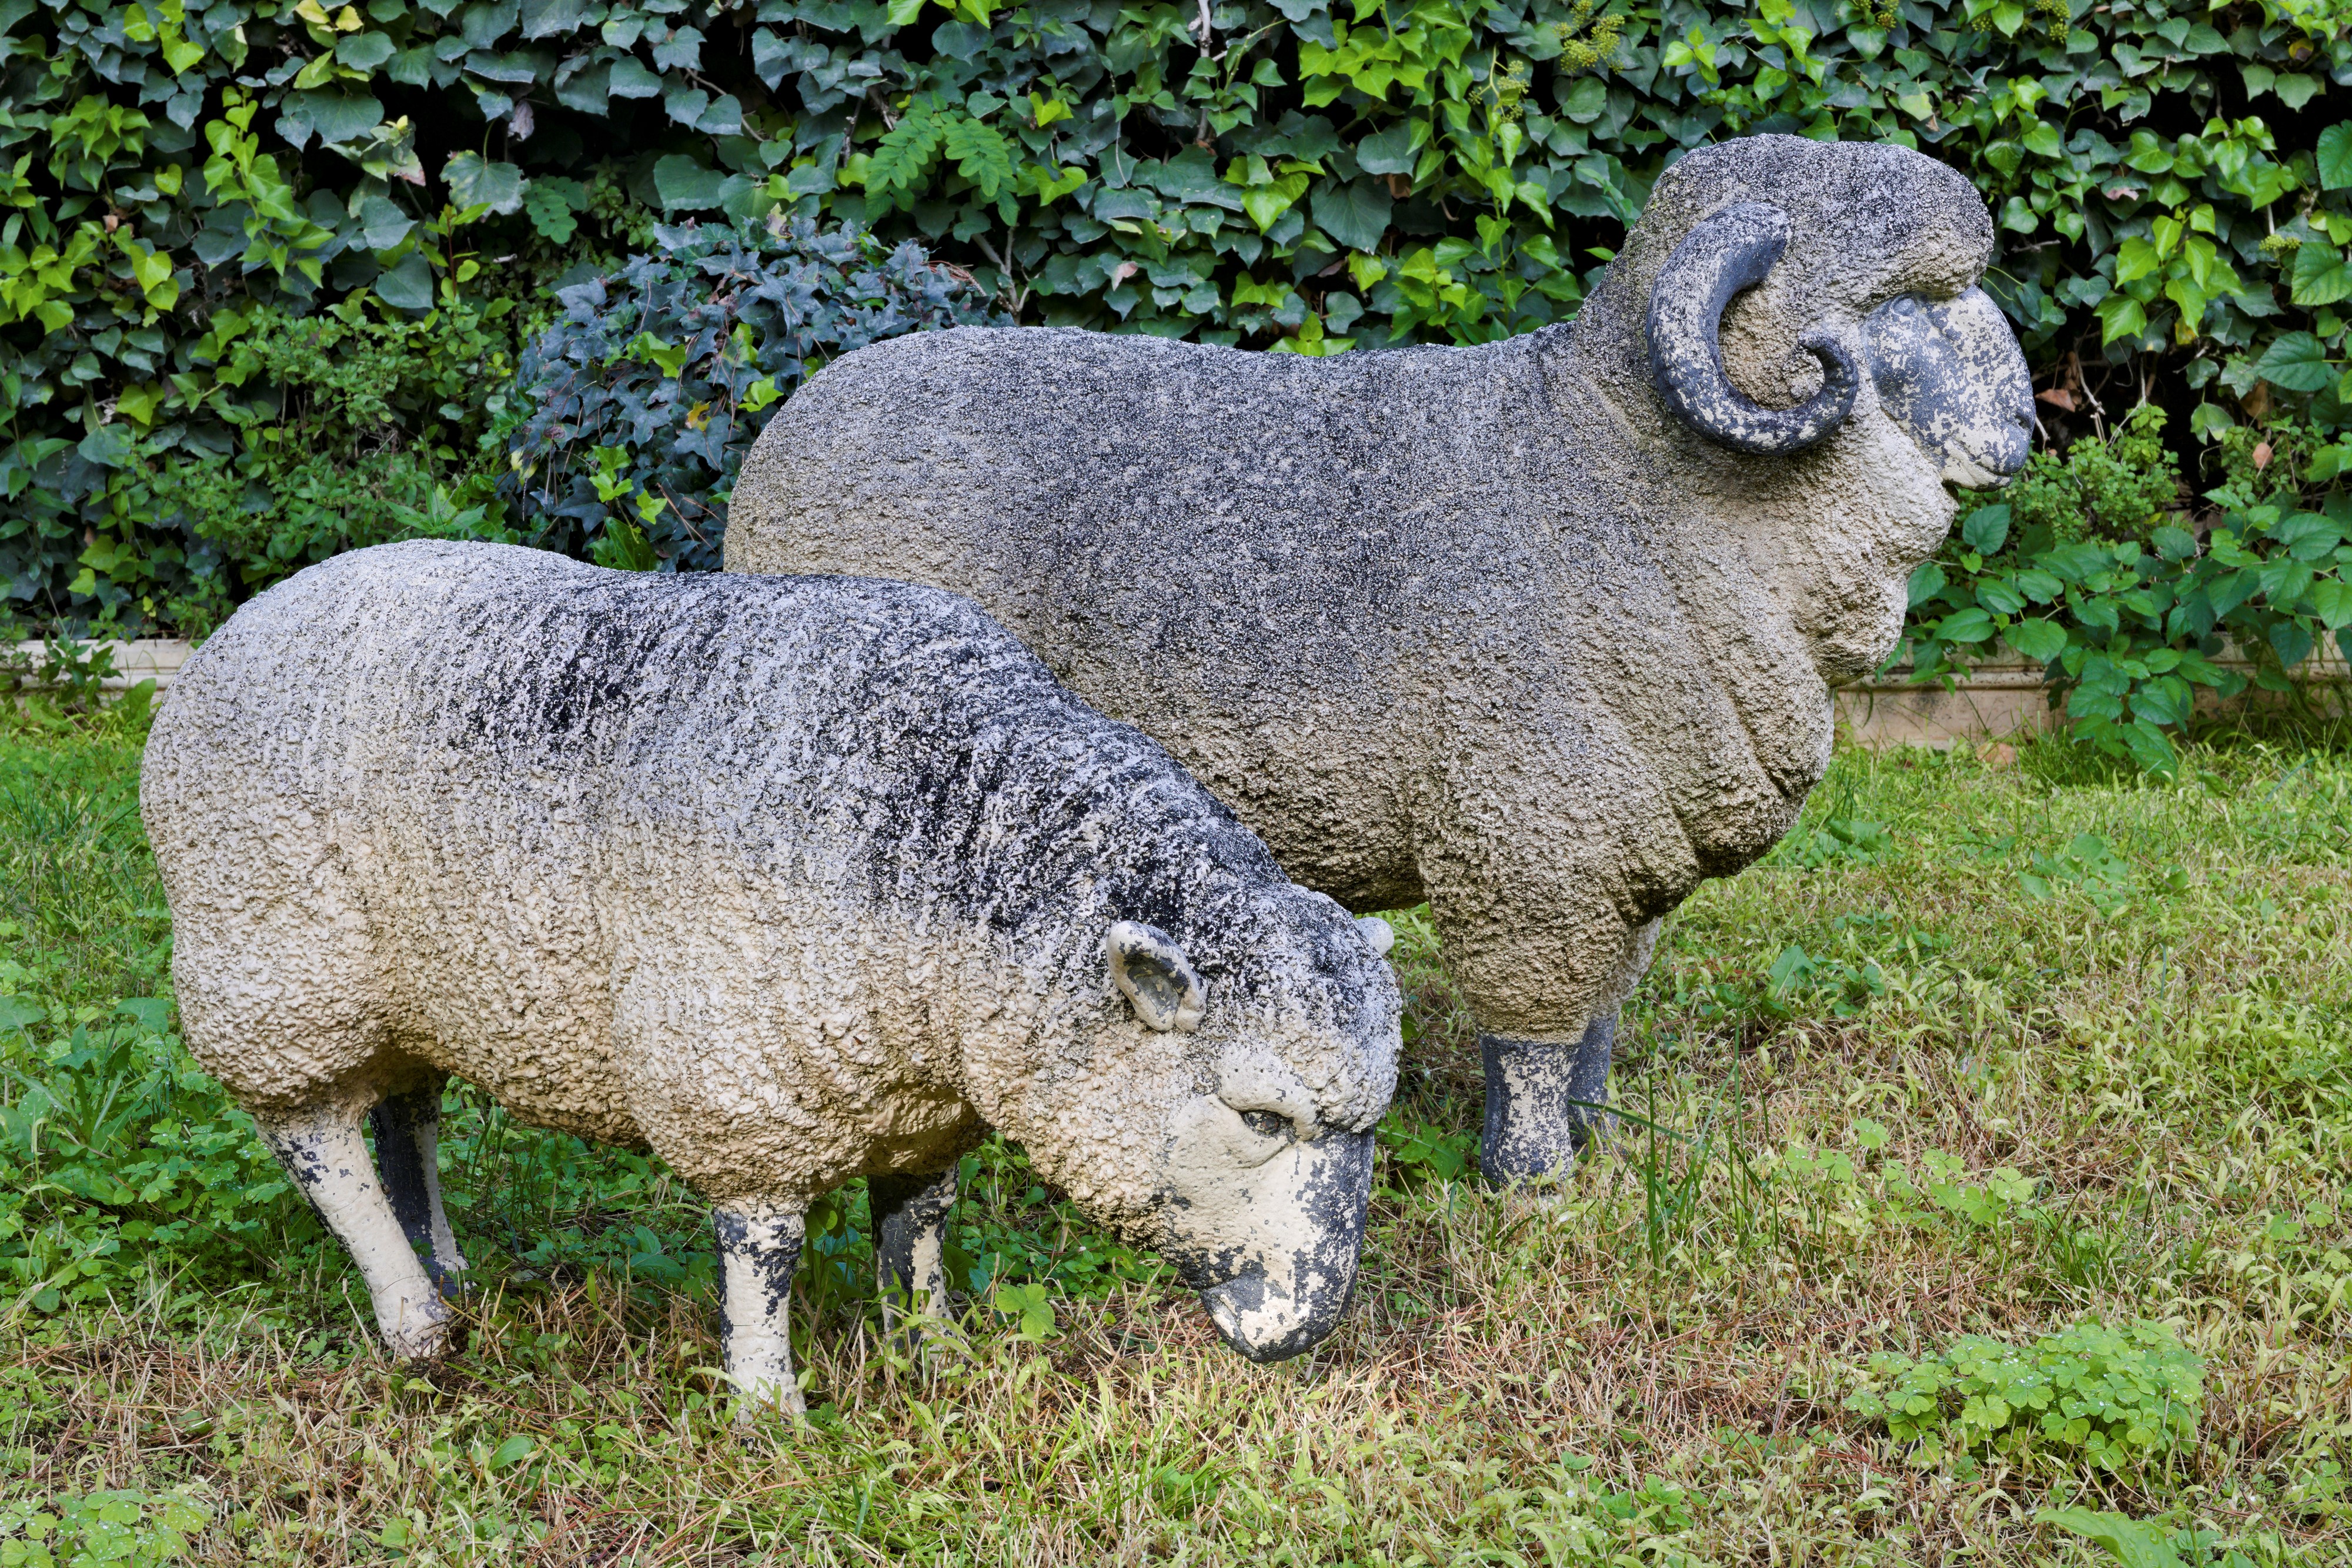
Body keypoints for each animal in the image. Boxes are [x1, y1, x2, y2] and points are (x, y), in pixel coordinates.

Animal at [140, 540, 1402, 1414]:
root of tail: (236, 630)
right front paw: (767, 1407)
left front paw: (934, 1355)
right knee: (320, 1144)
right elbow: (766, 1252)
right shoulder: (741, 1081)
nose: (1310, 1325)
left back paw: (447, 1265)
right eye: (1259, 1115)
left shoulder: (919, 1096)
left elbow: (921, 1226)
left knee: (405, 1109)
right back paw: (413, 1320)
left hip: (421, 987)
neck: (955, 848)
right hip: (277, 973)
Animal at [723, 134, 2033, 1182]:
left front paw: (1605, 1150)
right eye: (1900, 309)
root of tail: (783, 438)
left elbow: (1598, 1025)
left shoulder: (1629, 847)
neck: (1622, 468)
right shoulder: (1531, 851)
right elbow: (1532, 1040)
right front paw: (1533, 1187)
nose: (2025, 429)